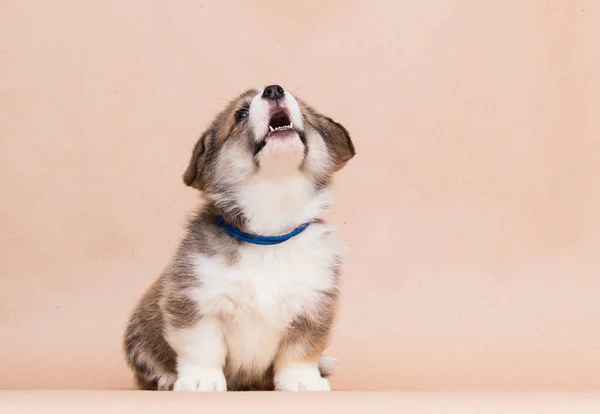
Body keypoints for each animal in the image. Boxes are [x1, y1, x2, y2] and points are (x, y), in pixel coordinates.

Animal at [123, 85, 354, 392]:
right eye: (240, 113)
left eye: (302, 110)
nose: (274, 89)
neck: (269, 232)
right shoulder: (195, 302)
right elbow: (202, 348)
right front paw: (200, 380)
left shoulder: (312, 308)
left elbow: (300, 352)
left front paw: (302, 381)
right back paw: (167, 379)